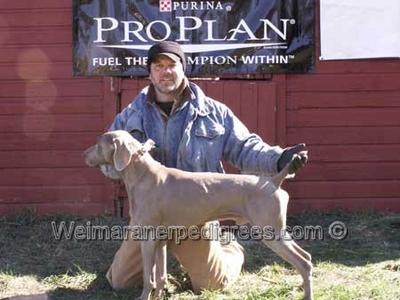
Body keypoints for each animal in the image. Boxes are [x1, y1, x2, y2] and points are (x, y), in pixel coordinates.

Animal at [83, 131, 312, 300]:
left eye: (98, 144)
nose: (84, 154)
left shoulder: (148, 238)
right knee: (306, 257)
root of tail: (274, 180)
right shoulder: (160, 240)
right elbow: (160, 276)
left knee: (303, 261)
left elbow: (149, 277)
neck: (142, 175)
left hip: (270, 231)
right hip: (274, 230)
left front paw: (144, 297)